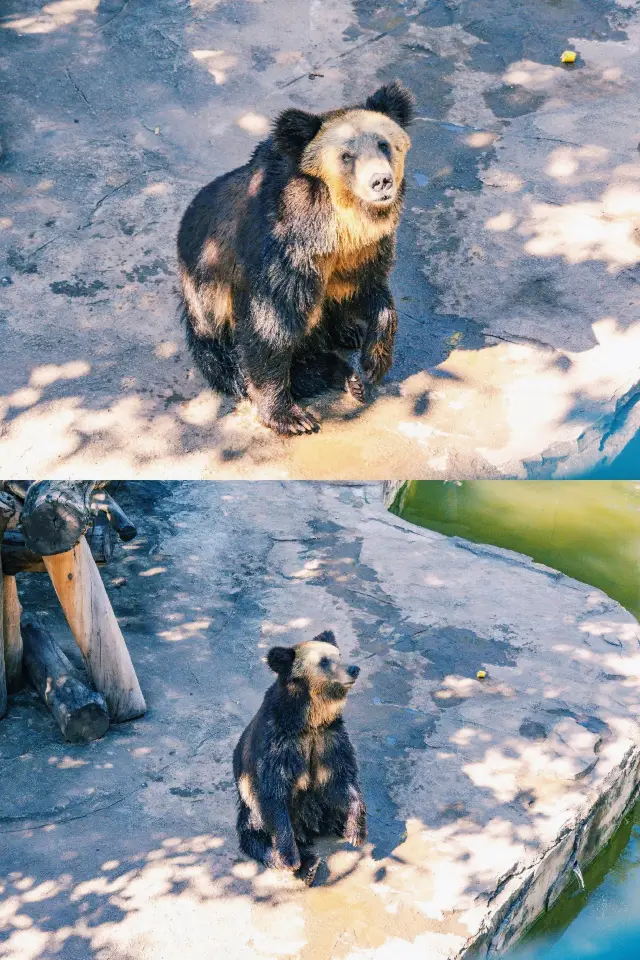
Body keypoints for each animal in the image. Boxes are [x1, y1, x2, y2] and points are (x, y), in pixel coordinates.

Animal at [178, 82, 412, 436]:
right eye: (347, 156)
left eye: (384, 144)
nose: (380, 181)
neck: (341, 223)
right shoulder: (285, 247)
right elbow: (271, 323)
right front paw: (289, 416)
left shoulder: (364, 252)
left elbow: (372, 292)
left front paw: (375, 361)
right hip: (207, 310)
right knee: (225, 360)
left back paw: (349, 345)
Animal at [232, 632, 368, 884]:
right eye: (324, 661)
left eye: (339, 654)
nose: (354, 668)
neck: (308, 721)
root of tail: (311, 829)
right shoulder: (278, 746)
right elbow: (274, 794)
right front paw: (292, 859)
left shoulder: (329, 740)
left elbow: (343, 780)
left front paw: (356, 831)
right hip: (250, 807)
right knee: (256, 835)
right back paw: (308, 865)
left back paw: (340, 828)